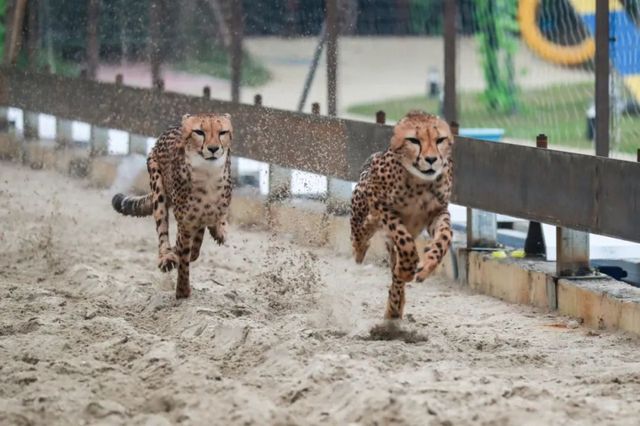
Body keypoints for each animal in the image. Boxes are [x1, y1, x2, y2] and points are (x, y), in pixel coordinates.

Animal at [112, 114, 232, 300]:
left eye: (222, 132)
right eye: (199, 132)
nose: (213, 149)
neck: (207, 174)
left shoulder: (206, 214)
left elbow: (210, 227)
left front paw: (219, 230)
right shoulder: (186, 223)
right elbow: (184, 257)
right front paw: (182, 291)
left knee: (195, 248)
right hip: (158, 186)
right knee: (164, 232)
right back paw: (167, 257)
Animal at [350, 111, 456, 318]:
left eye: (439, 139)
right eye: (414, 140)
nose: (431, 159)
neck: (419, 182)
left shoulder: (437, 212)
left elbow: (444, 237)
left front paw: (427, 265)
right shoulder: (381, 205)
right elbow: (404, 239)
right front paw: (408, 268)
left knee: (395, 276)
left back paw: (394, 309)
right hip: (362, 207)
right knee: (360, 234)